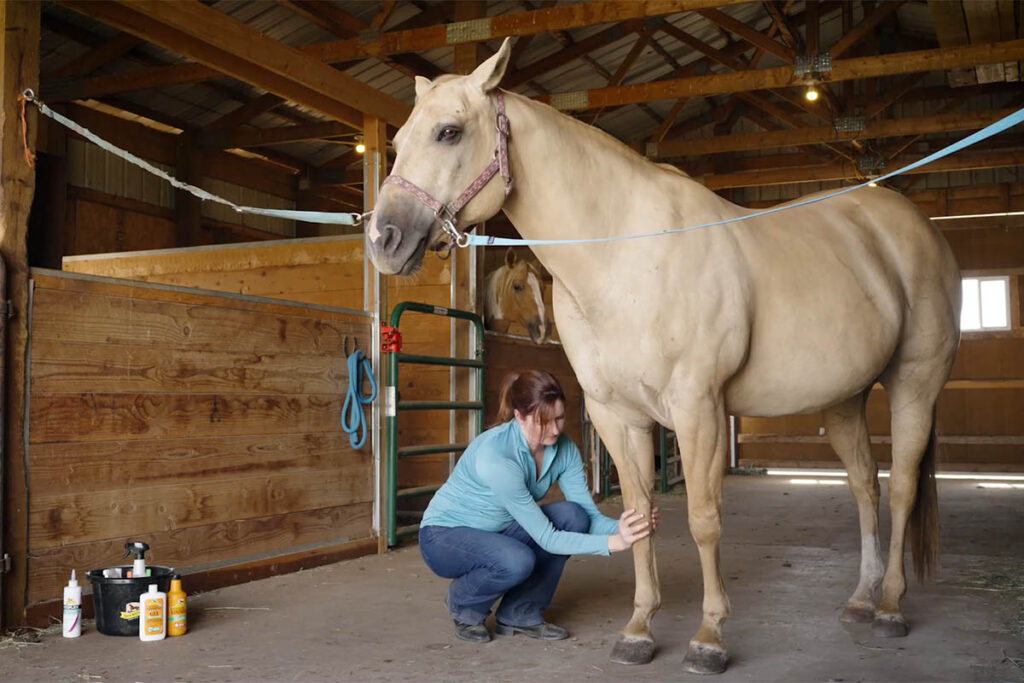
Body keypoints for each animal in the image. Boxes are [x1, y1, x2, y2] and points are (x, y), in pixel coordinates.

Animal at [366, 40, 958, 675]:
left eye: (449, 132)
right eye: (398, 143)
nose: (383, 240)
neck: (625, 252)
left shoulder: (698, 408)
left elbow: (703, 520)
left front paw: (709, 637)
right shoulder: (615, 414)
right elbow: (639, 514)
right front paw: (639, 629)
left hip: (914, 384)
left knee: (901, 489)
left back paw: (890, 607)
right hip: (845, 398)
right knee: (865, 487)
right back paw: (859, 600)